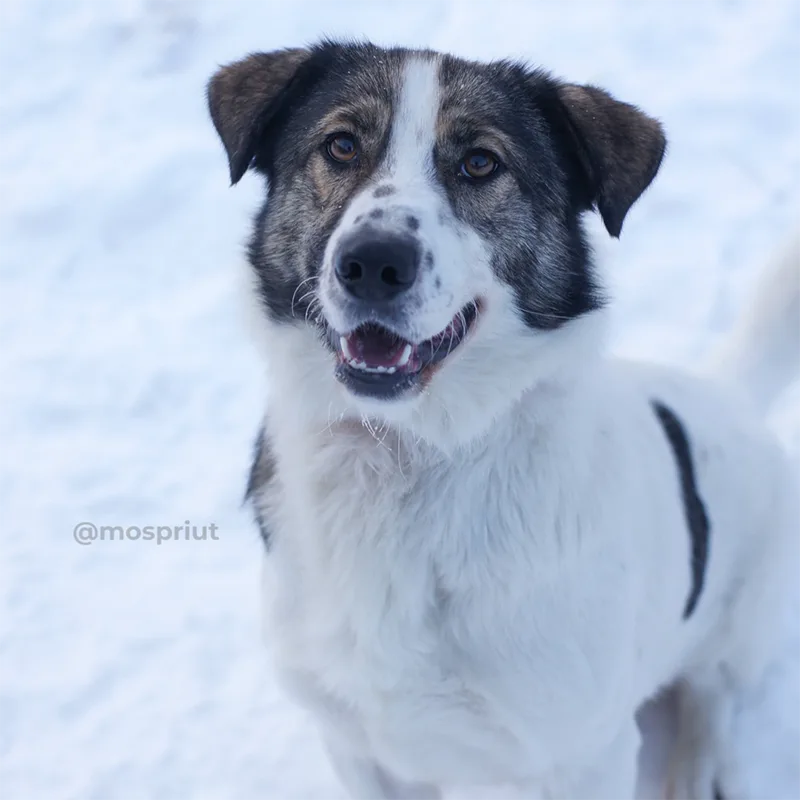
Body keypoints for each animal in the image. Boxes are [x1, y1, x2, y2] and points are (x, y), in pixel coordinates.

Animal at [209, 42, 800, 800]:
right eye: (341, 145)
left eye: (480, 163)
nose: (372, 262)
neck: (406, 456)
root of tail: (725, 388)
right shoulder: (353, 739)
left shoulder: (585, 755)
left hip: (743, 619)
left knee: (713, 690)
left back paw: (698, 769)